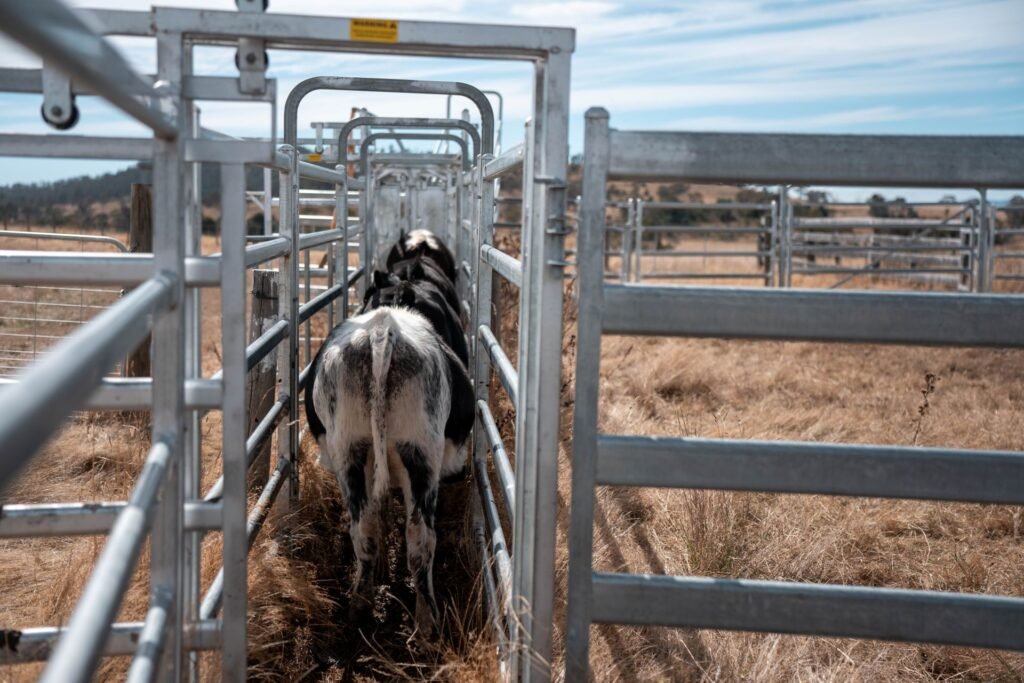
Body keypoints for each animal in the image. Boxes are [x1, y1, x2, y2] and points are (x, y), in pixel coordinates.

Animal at [308, 306, 474, 633]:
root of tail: (381, 330)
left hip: (351, 451)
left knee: (365, 528)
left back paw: (361, 608)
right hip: (421, 456)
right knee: (422, 536)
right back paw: (428, 623)